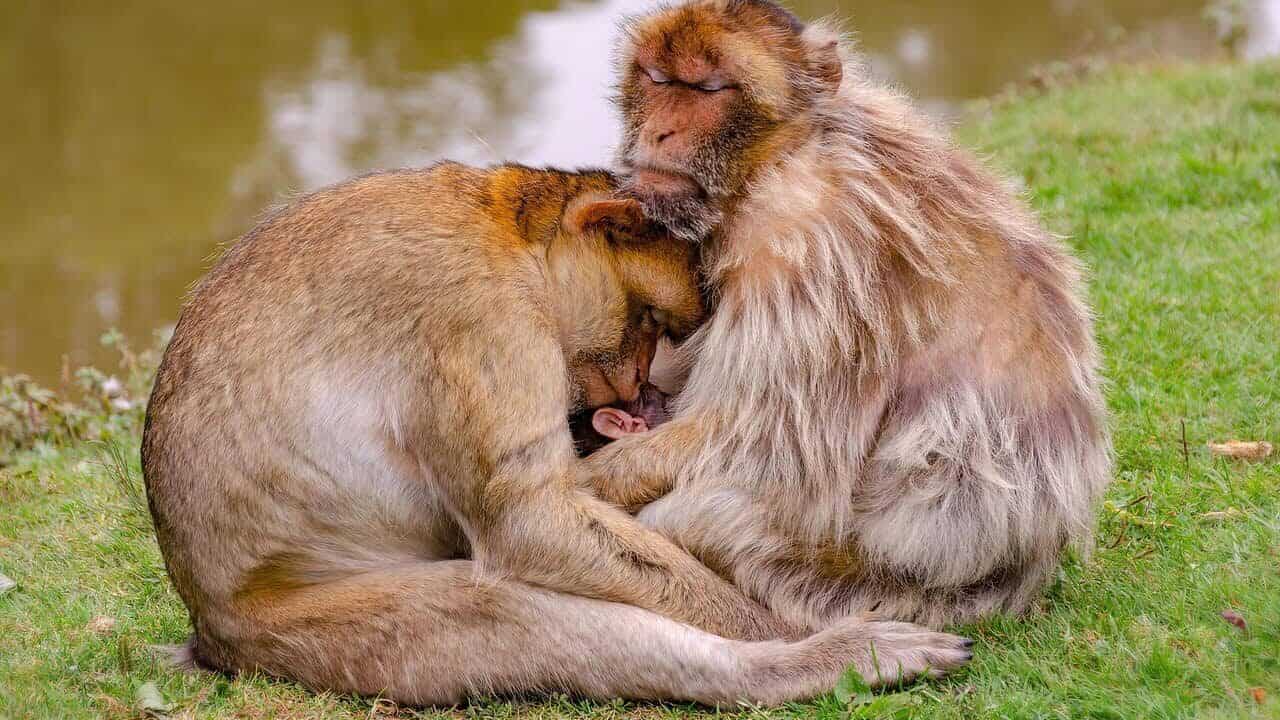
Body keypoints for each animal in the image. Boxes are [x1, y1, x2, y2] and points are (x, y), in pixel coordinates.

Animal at [141, 162, 974, 706]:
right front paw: (777, 627)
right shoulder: (480, 316)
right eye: (649, 320)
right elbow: (529, 519)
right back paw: (807, 666)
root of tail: (209, 625)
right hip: (297, 632)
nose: (636, 387)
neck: (507, 233)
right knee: (492, 608)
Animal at [584, 0, 1112, 631]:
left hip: (855, 582)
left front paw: (587, 476)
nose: (659, 132)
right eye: (658, 79)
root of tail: (1029, 564)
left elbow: (766, 441)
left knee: (716, 510)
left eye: (708, 88)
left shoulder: (808, 246)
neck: (781, 159)